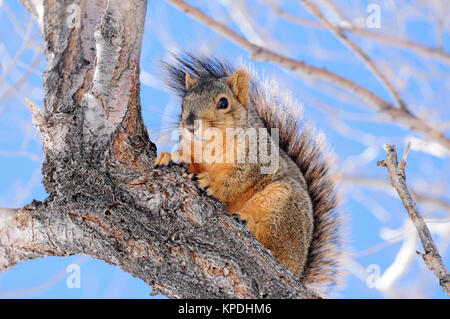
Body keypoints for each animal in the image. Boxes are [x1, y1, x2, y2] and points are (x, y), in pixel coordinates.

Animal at [154, 53, 342, 296]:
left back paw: (247, 221)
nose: (189, 126)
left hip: (285, 204)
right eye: (182, 104)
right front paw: (169, 156)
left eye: (223, 103)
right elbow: (191, 163)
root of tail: (299, 270)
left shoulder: (259, 159)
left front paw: (211, 184)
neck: (212, 145)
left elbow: (237, 179)